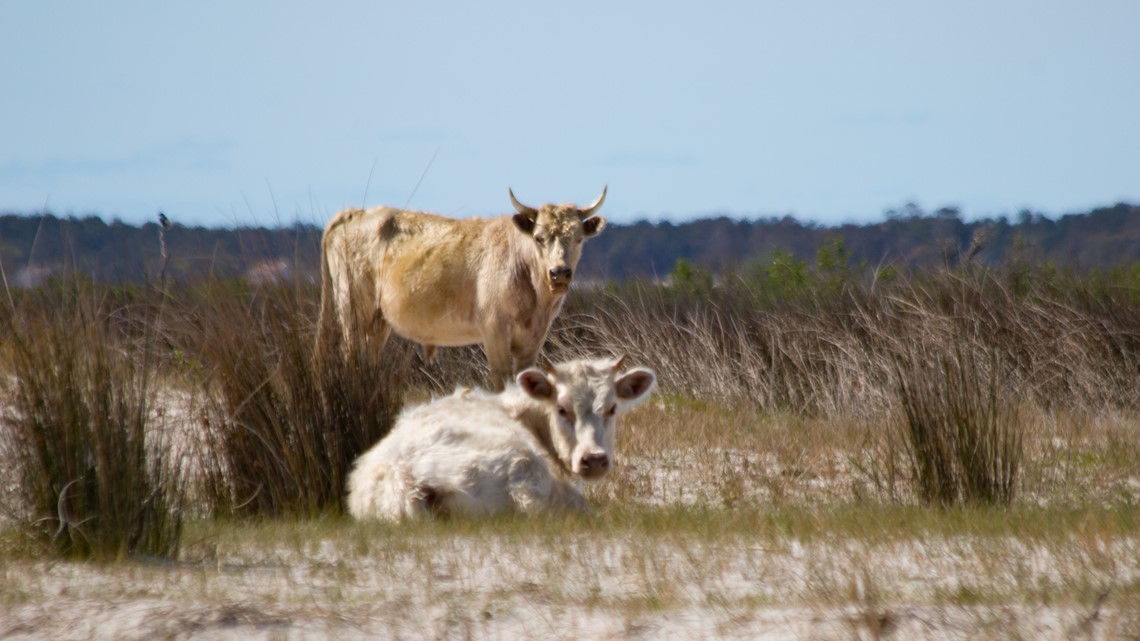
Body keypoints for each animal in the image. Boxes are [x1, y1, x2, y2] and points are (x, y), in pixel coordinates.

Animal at [316, 184, 611, 383]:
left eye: (579, 238)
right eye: (539, 238)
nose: (559, 272)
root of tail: (357, 213)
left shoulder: (533, 341)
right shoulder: (495, 332)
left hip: (377, 321)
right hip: (352, 309)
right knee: (350, 355)